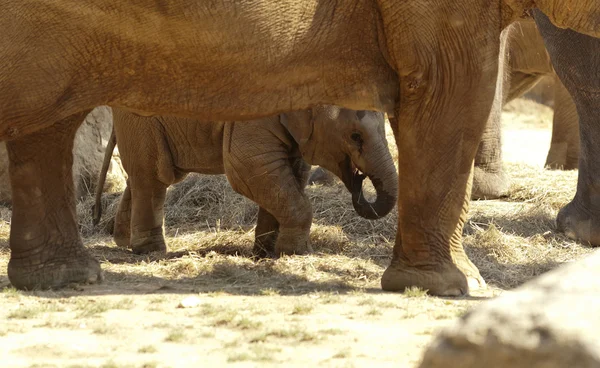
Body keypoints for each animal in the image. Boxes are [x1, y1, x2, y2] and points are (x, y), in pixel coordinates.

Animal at [94, 105, 398, 256]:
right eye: (355, 136)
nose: (359, 179)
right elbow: (247, 168)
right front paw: (297, 253)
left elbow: (293, 173)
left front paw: (265, 253)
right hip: (141, 117)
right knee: (154, 175)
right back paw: (150, 252)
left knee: (141, 176)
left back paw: (123, 242)